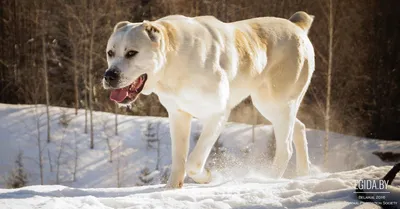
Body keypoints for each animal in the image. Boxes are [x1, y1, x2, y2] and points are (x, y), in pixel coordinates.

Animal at [103, 10, 316, 189]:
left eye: (131, 53)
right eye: (110, 53)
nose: (109, 75)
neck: (174, 62)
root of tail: (296, 26)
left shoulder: (218, 113)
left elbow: (193, 162)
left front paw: (207, 176)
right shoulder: (178, 115)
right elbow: (179, 158)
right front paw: (172, 188)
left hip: (276, 103)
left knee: (285, 148)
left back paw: (267, 180)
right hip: (271, 106)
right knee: (299, 128)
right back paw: (304, 174)